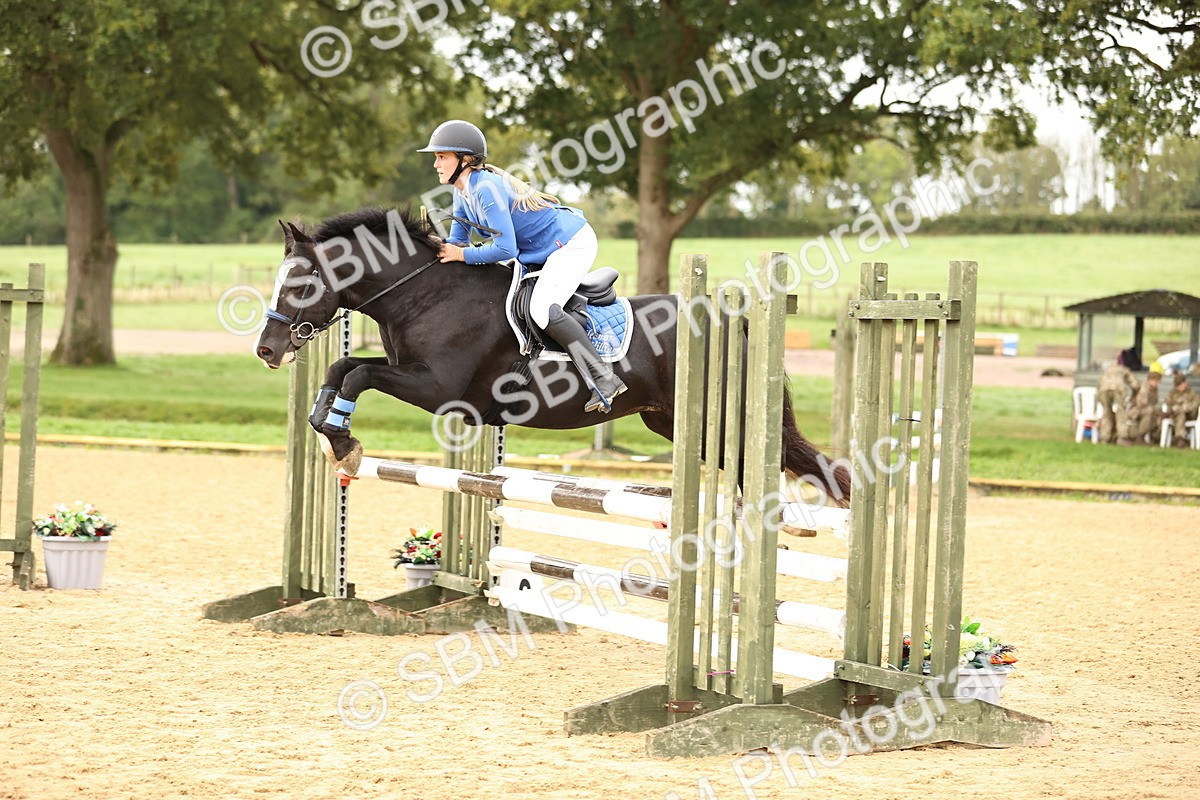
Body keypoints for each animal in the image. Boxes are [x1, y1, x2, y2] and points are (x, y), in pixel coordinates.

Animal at [254, 207, 851, 506]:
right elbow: (343, 368)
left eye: (301, 283)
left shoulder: (438, 389)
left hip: (715, 418)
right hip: (673, 422)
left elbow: (359, 374)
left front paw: (345, 444)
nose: (267, 349)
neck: (426, 294)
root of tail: (732, 319)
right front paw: (332, 432)